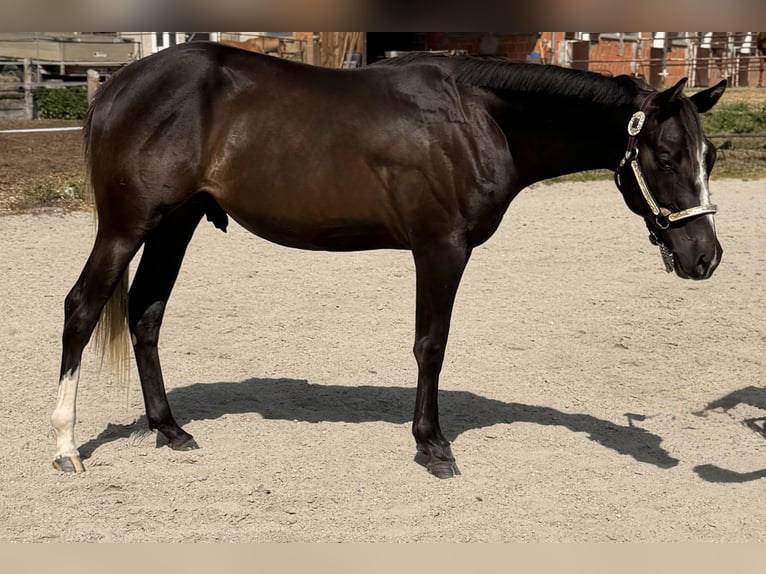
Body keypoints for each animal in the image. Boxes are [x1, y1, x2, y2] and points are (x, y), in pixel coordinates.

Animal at [52, 42, 726, 479]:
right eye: (667, 158)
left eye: (710, 156)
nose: (705, 257)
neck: (477, 118)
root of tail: (117, 86)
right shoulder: (441, 247)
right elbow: (432, 344)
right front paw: (432, 446)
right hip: (127, 227)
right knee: (82, 310)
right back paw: (65, 448)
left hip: (176, 223)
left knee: (145, 314)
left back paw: (169, 429)